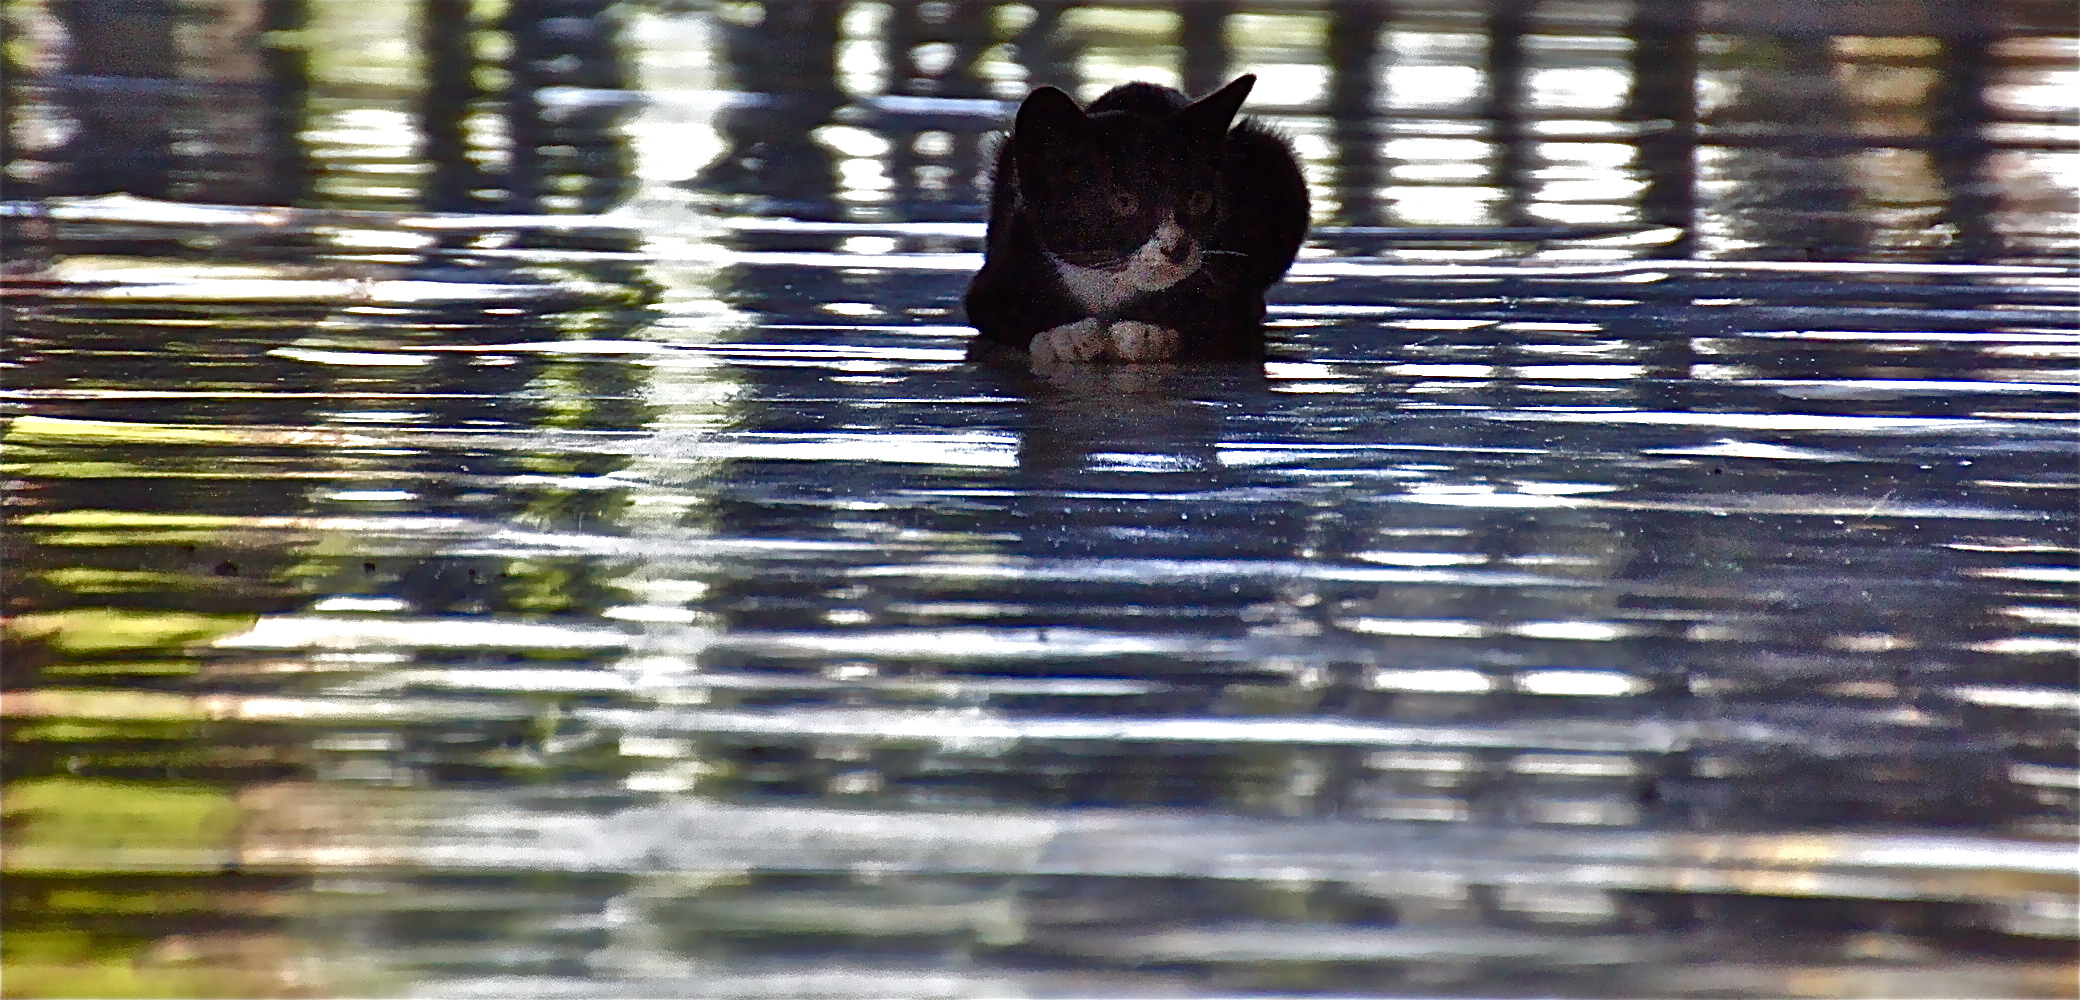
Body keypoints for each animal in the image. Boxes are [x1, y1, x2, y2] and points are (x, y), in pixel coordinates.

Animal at [956, 72, 1297, 365]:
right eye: (1123, 201)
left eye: (1200, 201)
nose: (1177, 248)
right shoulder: (995, 275)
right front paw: (1065, 337)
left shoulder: (1234, 293)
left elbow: (1218, 317)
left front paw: (1146, 333)